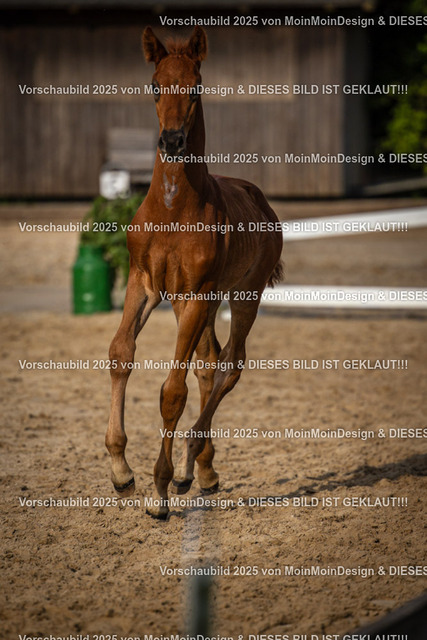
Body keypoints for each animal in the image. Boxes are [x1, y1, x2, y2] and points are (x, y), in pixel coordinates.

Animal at [105, 26, 283, 519]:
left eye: (196, 87)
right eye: (154, 86)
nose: (171, 142)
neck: (173, 206)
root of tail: (261, 201)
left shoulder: (197, 293)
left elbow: (172, 391)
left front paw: (159, 490)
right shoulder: (145, 283)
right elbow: (121, 353)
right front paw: (121, 471)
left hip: (241, 295)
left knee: (231, 364)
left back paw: (189, 464)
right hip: (200, 302)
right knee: (209, 363)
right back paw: (199, 471)